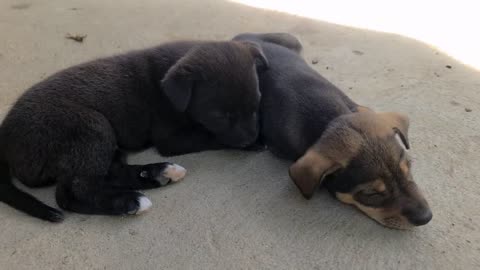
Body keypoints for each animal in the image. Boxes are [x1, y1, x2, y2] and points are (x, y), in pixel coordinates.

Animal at [0, 39, 268, 221]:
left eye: (257, 103)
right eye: (220, 116)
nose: (250, 137)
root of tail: (5, 136)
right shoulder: (171, 138)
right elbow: (210, 135)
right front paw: (255, 143)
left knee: (110, 172)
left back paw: (158, 174)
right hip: (91, 126)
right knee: (71, 194)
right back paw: (129, 202)